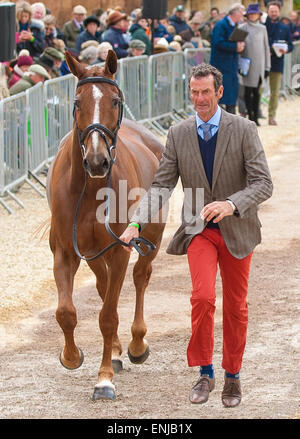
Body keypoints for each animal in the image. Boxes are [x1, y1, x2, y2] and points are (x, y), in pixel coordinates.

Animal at [46, 49, 166, 400]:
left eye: (115, 100)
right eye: (76, 102)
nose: (97, 160)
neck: (89, 190)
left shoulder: (120, 249)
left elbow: (108, 316)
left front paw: (103, 379)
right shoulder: (66, 252)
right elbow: (66, 312)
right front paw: (72, 356)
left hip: (151, 237)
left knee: (140, 277)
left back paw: (136, 344)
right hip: (93, 253)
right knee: (102, 285)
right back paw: (114, 350)